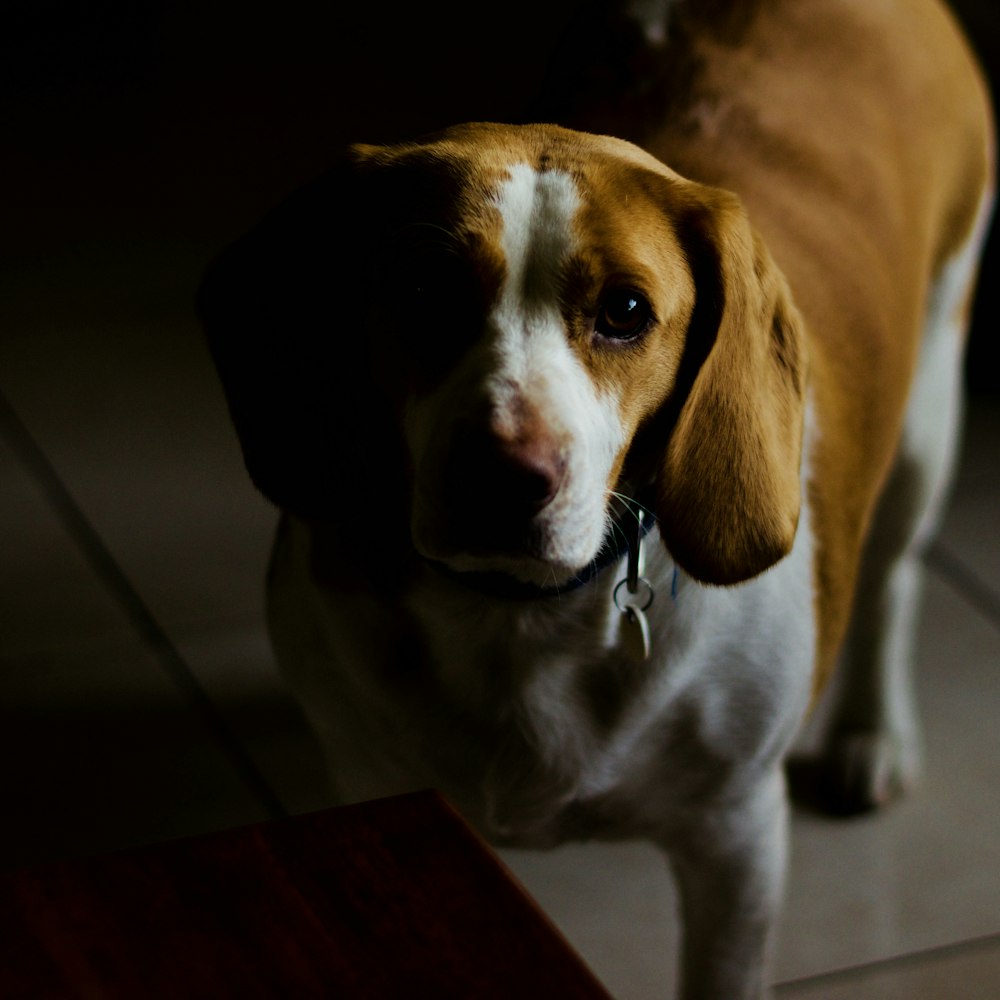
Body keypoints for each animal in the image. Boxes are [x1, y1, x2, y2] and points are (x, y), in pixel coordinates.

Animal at [199, 1, 996, 1000]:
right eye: (421, 291)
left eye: (625, 311)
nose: (504, 475)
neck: (519, 617)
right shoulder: (370, 786)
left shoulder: (736, 835)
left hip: (932, 401)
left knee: (895, 571)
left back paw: (874, 733)